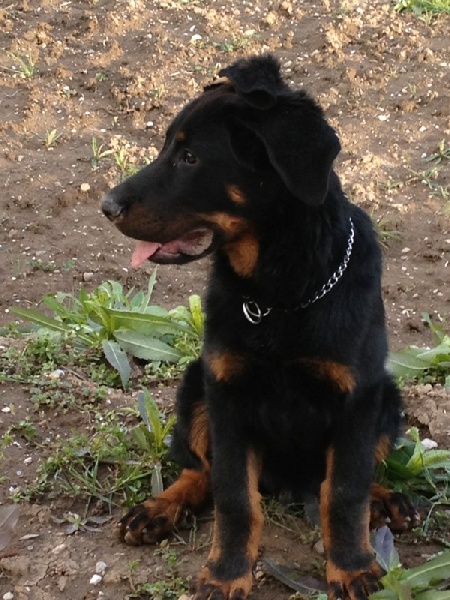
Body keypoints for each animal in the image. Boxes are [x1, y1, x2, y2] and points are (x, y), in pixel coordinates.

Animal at [101, 55, 418, 600]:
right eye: (166, 149)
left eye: (190, 158)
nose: (107, 206)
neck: (279, 295)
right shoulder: (228, 393)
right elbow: (233, 495)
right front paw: (226, 572)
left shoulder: (357, 397)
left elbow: (344, 490)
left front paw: (352, 566)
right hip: (195, 383)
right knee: (197, 468)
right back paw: (160, 508)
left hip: (388, 398)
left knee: (343, 477)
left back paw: (384, 498)